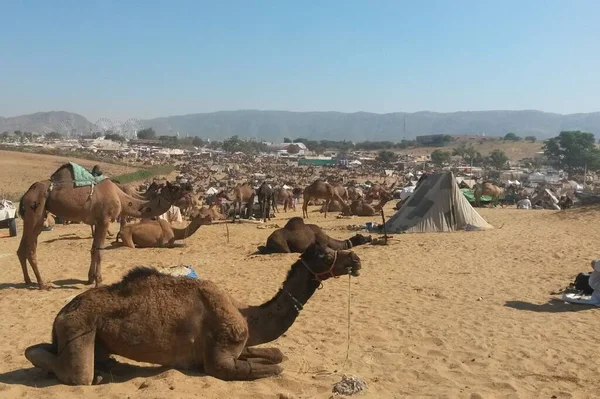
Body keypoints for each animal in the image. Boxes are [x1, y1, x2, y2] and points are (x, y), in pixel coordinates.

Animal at [17, 164, 182, 290]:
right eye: (175, 188)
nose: (186, 188)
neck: (121, 198)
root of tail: (25, 195)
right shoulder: (104, 220)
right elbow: (100, 252)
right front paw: (99, 281)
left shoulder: (97, 221)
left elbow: (93, 250)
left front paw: (90, 279)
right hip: (35, 211)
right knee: (31, 249)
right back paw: (42, 284)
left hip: (32, 216)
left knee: (21, 248)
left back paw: (28, 280)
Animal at [23, 242, 360, 386]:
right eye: (325, 254)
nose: (355, 259)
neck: (244, 313)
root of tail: (61, 313)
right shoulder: (220, 359)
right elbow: (273, 368)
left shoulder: (240, 343)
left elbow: (277, 354)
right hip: (77, 328)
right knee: (74, 373)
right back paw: (94, 375)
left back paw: (111, 368)